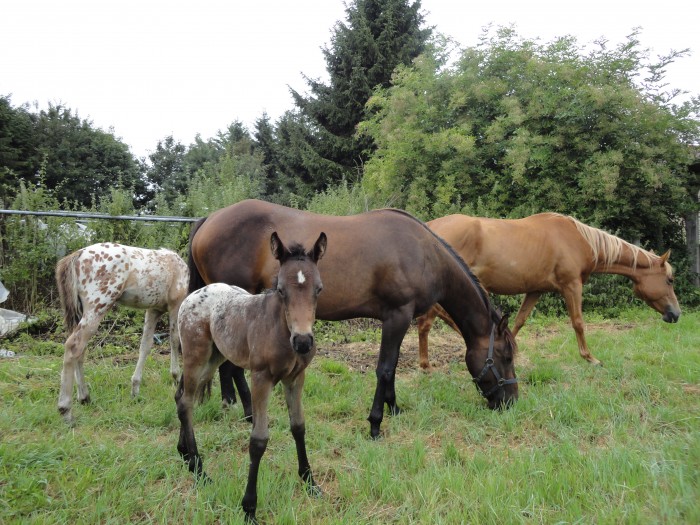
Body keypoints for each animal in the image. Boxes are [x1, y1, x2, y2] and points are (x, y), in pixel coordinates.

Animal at [56, 242, 189, 422]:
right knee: (73, 346)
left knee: (80, 350)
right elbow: (175, 340)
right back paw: (66, 410)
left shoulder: (153, 309)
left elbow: (145, 345)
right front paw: (176, 377)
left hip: (80, 312)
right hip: (97, 307)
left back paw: (84, 397)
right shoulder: (175, 304)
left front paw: (135, 389)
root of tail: (77, 255)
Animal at [175, 232, 328, 524]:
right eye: (280, 289)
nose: (303, 342)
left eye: (319, 289)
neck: (279, 329)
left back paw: (185, 454)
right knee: (186, 402)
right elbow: (258, 440)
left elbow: (298, 426)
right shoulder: (261, 379)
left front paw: (310, 482)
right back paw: (199, 469)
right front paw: (249, 507)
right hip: (195, 355)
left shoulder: (296, 378)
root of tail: (194, 295)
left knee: (180, 396)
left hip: (216, 357)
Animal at [189, 199, 516, 436]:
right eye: (507, 356)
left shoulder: (397, 319)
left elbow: (392, 367)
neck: (423, 252)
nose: (510, 401)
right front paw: (375, 423)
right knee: (232, 366)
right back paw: (247, 412)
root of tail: (209, 219)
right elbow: (385, 368)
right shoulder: (398, 315)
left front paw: (394, 408)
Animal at [416, 211, 680, 366]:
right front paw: (590, 357)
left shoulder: (536, 290)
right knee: (427, 322)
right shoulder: (571, 285)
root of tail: (429, 227)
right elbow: (578, 322)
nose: (676, 314)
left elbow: (520, 321)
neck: (579, 240)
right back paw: (426, 365)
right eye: (669, 280)